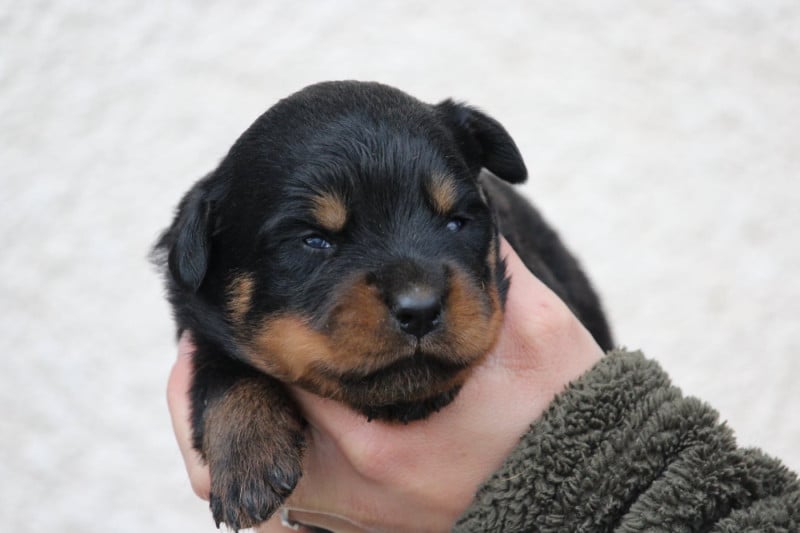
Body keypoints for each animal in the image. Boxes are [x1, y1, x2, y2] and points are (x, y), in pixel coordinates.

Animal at [153, 81, 613, 530]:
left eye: (456, 222)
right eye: (314, 239)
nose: (420, 310)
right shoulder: (197, 318)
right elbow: (220, 367)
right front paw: (248, 454)